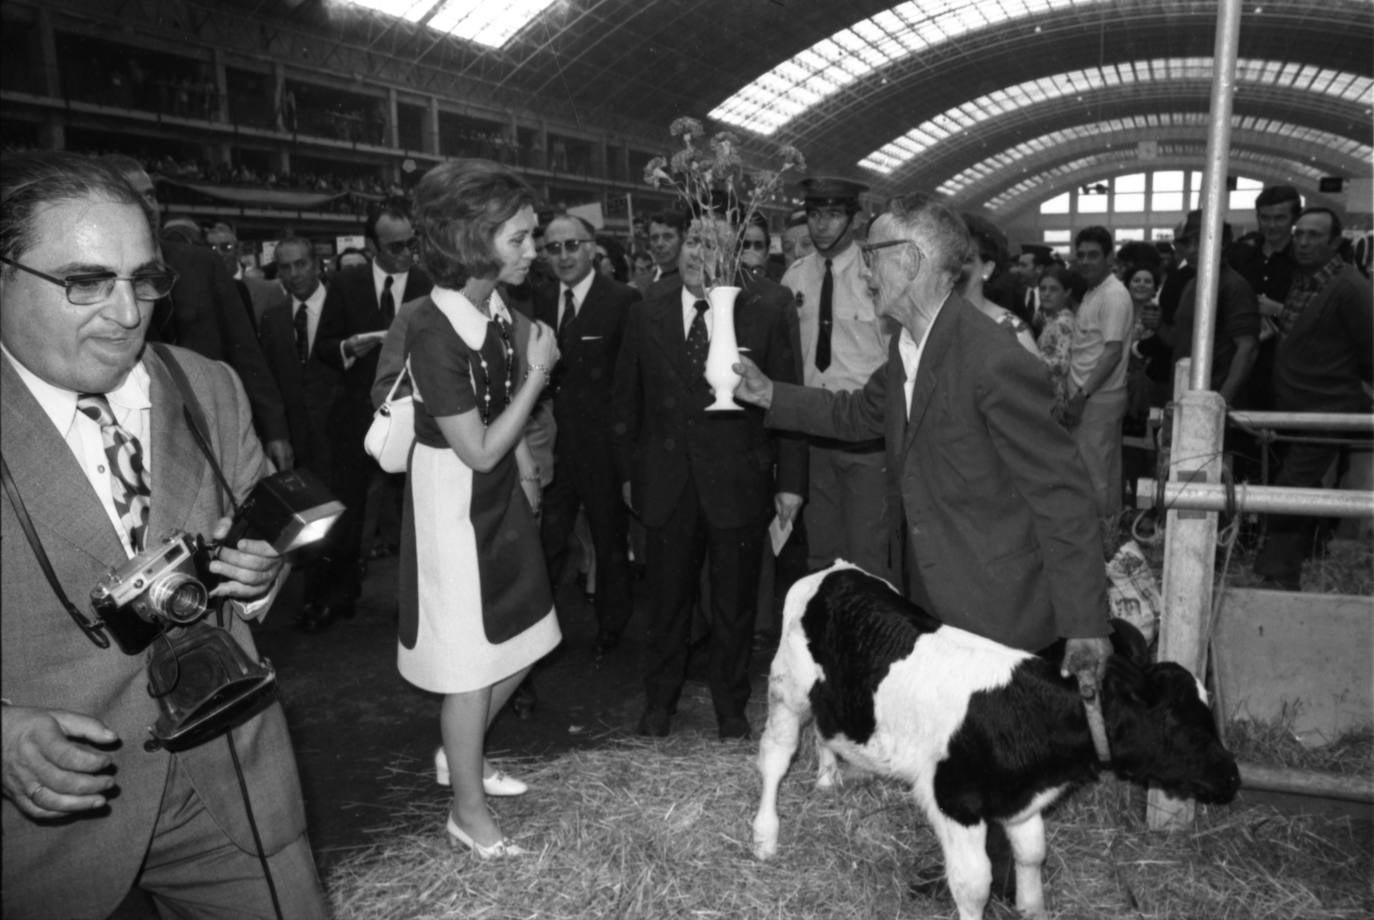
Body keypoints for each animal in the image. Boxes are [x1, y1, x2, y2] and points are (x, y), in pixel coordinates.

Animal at [758, 562, 1242, 920]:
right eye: (1178, 723)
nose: (1233, 778)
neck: (1023, 713)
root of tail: (834, 571)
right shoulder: (955, 802)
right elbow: (974, 885)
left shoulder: (1021, 799)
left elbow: (1031, 856)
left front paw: (1032, 907)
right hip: (787, 688)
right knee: (776, 757)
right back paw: (765, 837)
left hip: (834, 699)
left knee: (825, 730)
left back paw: (826, 780)